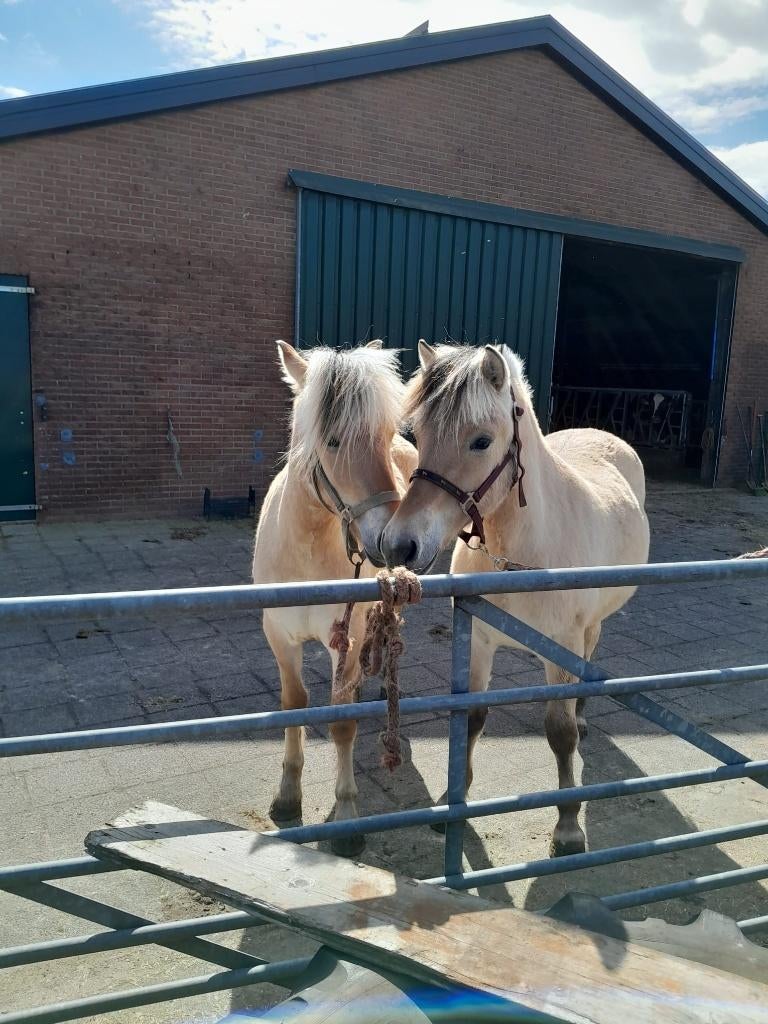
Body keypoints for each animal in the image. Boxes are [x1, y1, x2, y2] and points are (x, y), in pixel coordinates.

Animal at [252, 340, 417, 857]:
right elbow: (295, 704)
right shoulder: (279, 637)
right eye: (332, 442)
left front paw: (346, 819)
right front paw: (287, 797)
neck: (307, 544)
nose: (391, 541)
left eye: (383, 435)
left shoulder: (347, 636)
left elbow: (342, 722)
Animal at [381, 341, 650, 857]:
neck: (520, 552)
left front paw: (568, 827)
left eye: (482, 441)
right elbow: (471, 719)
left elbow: (560, 733)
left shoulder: (560, 646)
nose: (399, 545)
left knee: (589, 657)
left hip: (591, 624)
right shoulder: (478, 641)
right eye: (418, 434)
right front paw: (453, 801)